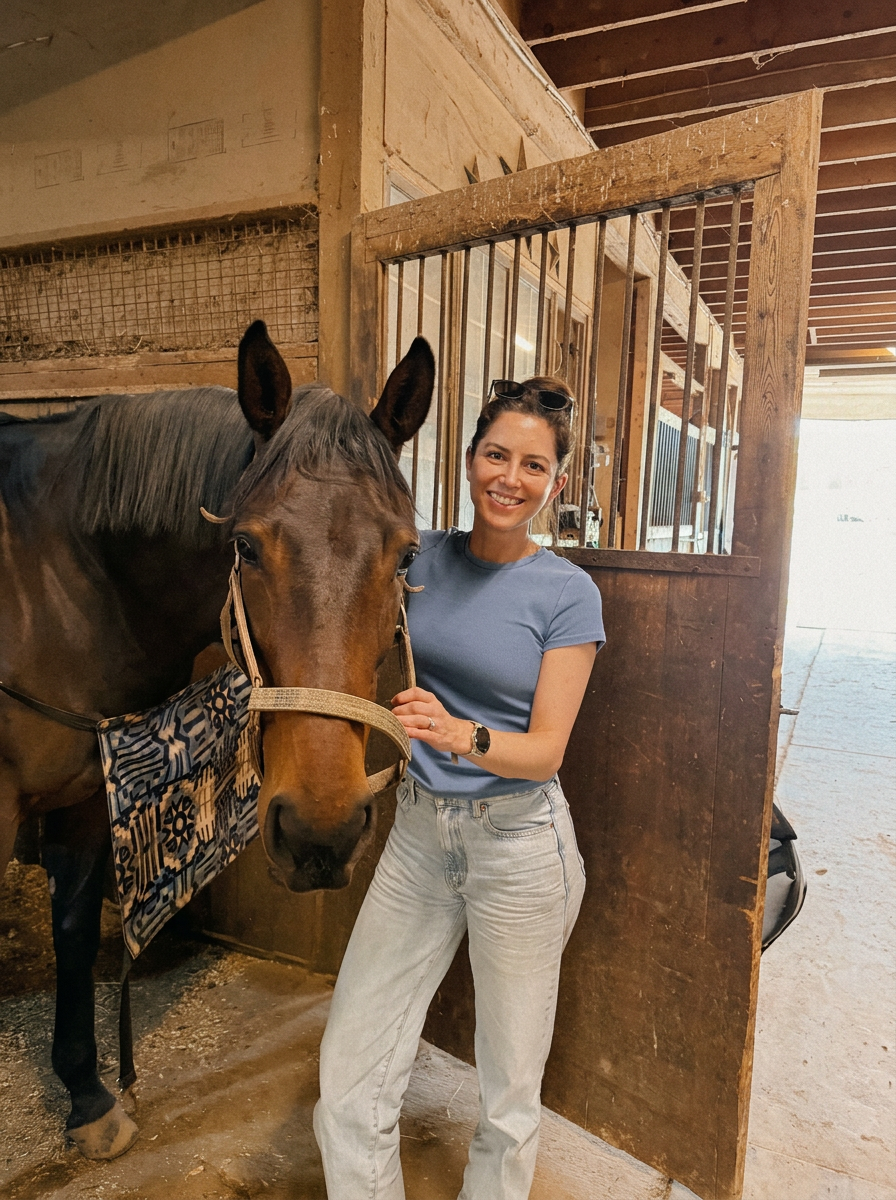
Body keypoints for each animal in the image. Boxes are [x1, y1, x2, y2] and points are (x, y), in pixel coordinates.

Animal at [0, 320, 434, 1159]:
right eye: (247, 547)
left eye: (407, 554)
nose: (322, 832)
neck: (52, 587)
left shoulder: (84, 795)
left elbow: (73, 932)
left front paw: (88, 1096)